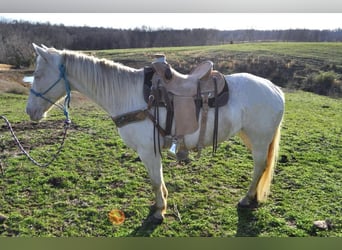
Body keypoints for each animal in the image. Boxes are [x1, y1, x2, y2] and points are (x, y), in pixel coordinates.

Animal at [26, 44, 284, 224]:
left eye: (38, 75)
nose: (30, 111)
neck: (129, 95)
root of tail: (275, 88)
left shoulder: (148, 151)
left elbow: (154, 180)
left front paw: (159, 211)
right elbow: (157, 180)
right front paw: (162, 202)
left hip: (259, 139)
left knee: (259, 167)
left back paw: (246, 198)